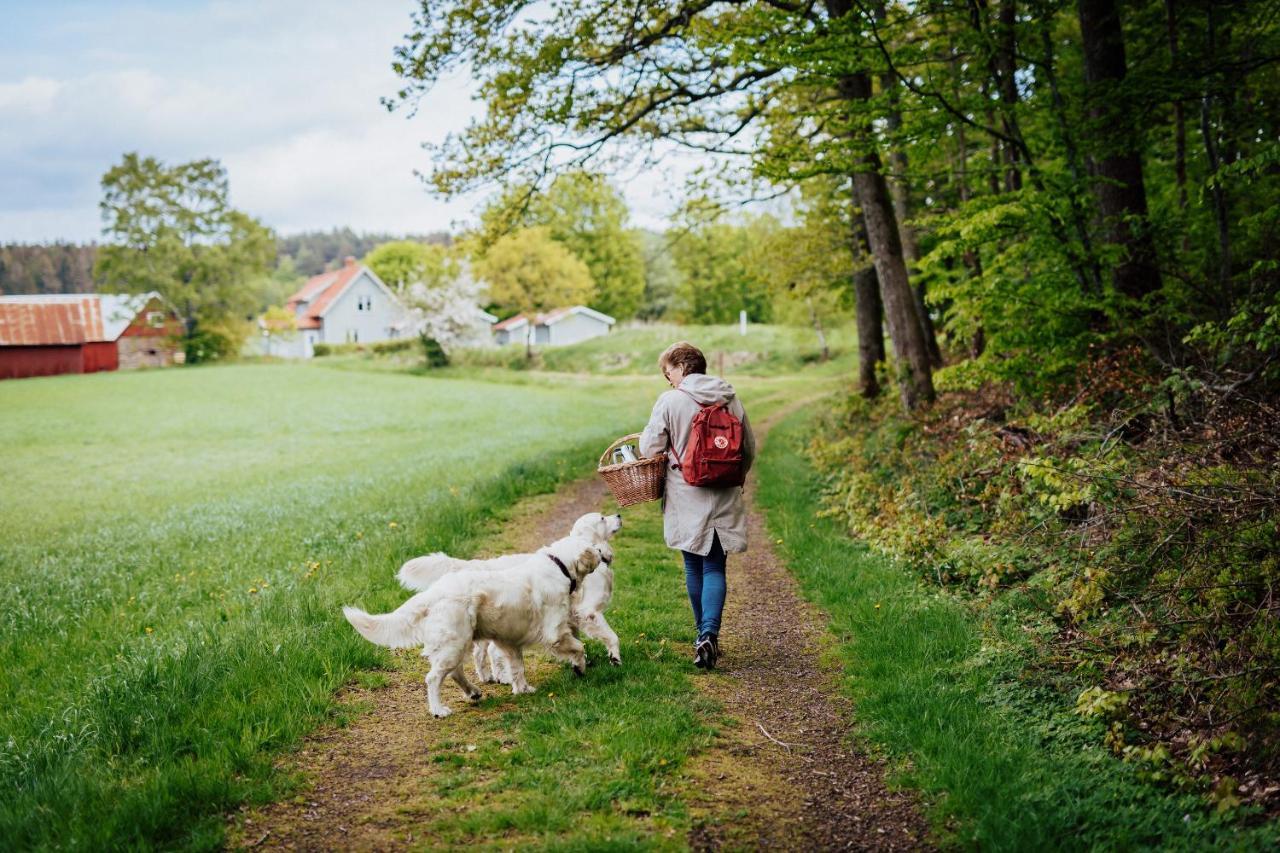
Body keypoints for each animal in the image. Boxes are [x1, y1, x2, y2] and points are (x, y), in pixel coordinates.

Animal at [343, 535, 606, 712]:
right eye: (591, 547)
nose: (602, 553)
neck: (557, 565)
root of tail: (434, 592)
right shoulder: (554, 632)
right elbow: (578, 647)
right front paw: (580, 668)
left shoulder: (509, 642)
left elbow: (517, 668)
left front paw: (522, 689)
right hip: (455, 643)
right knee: (434, 678)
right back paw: (438, 710)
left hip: (458, 643)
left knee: (455, 672)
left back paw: (473, 692)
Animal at [396, 512, 622, 676]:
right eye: (602, 518)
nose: (619, 515)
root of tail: (481, 565)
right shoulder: (588, 611)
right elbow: (611, 637)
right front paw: (615, 659)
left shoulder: (568, 616)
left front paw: (579, 662)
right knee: (490, 652)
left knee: (481, 652)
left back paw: (489, 677)